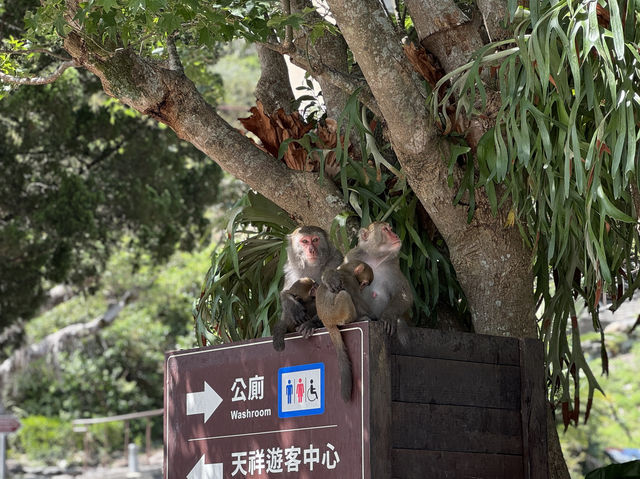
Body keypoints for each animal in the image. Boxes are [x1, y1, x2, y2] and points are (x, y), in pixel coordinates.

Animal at [316, 260, 376, 404]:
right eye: (364, 283)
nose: (362, 288)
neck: (346, 270)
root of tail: (326, 321)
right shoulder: (350, 281)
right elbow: (357, 300)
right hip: (337, 312)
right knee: (344, 295)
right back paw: (356, 319)